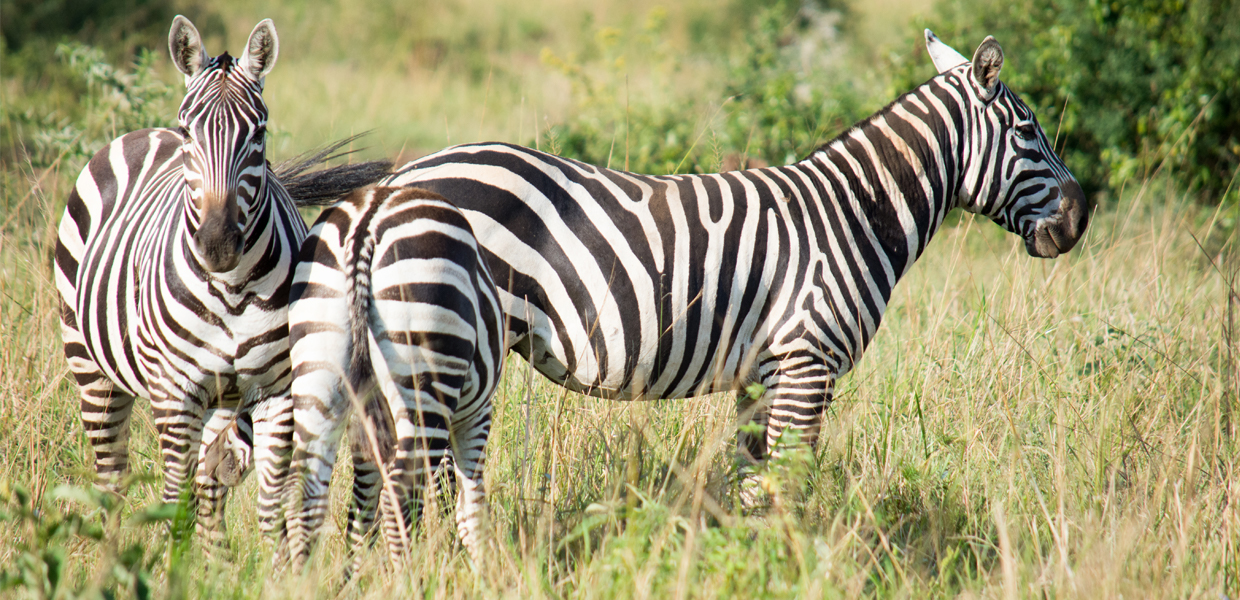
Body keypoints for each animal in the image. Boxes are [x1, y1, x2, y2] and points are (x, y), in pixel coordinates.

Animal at [53, 15, 386, 547]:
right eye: (189, 130)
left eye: (260, 133)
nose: (217, 244)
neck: (231, 291)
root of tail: (143, 134)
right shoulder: (176, 394)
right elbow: (173, 500)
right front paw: (170, 563)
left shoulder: (278, 394)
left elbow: (270, 505)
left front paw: (275, 566)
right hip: (90, 367)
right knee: (115, 478)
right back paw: (115, 551)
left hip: (222, 401)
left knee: (208, 486)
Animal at [283, 185, 505, 572]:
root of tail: (366, 221)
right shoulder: (476, 414)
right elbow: (471, 506)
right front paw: (485, 573)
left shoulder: (368, 424)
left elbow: (362, 508)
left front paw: (353, 574)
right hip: (426, 372)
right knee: (401, 493)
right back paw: (409, 578)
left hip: (318, 367)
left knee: (304, 491)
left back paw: (300, 579)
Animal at [374, 32, 1086, 480]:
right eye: (1030, 131)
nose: (1082, 217)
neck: (855, 213)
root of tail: (403, 177)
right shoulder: (807, 360)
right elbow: (788, 488)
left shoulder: (763, 373)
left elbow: (751, 488)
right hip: (439, 345)